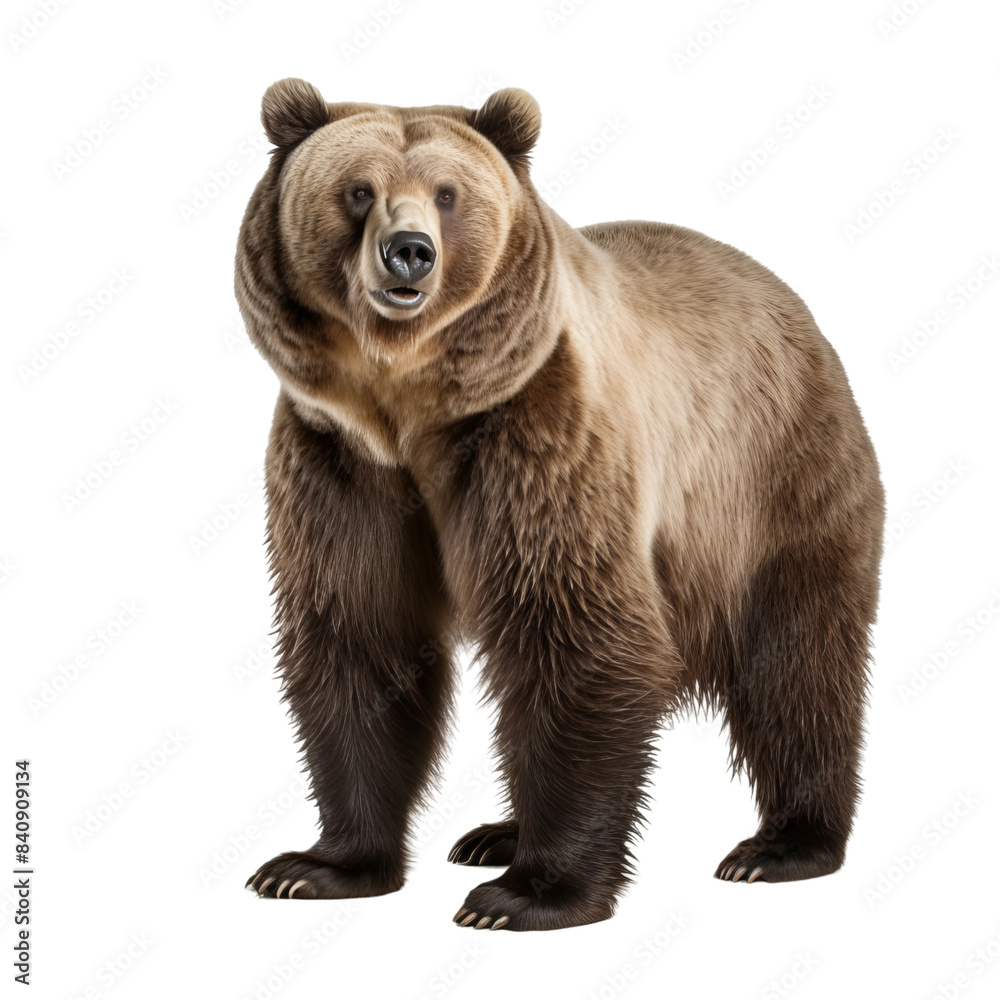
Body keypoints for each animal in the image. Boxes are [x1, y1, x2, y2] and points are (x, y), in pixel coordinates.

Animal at [236, 78, 885, 932]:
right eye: (358, 190)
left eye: (447, 194)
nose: (409, 251)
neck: (407, 407)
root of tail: (797, 307)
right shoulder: (338, 461)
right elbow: (361, 633)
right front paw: (316, 866)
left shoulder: (537, 430)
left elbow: (573, 630)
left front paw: (528, 894)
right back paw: (495, 832)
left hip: (770, 484)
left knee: (797, 662)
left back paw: (781, 845)